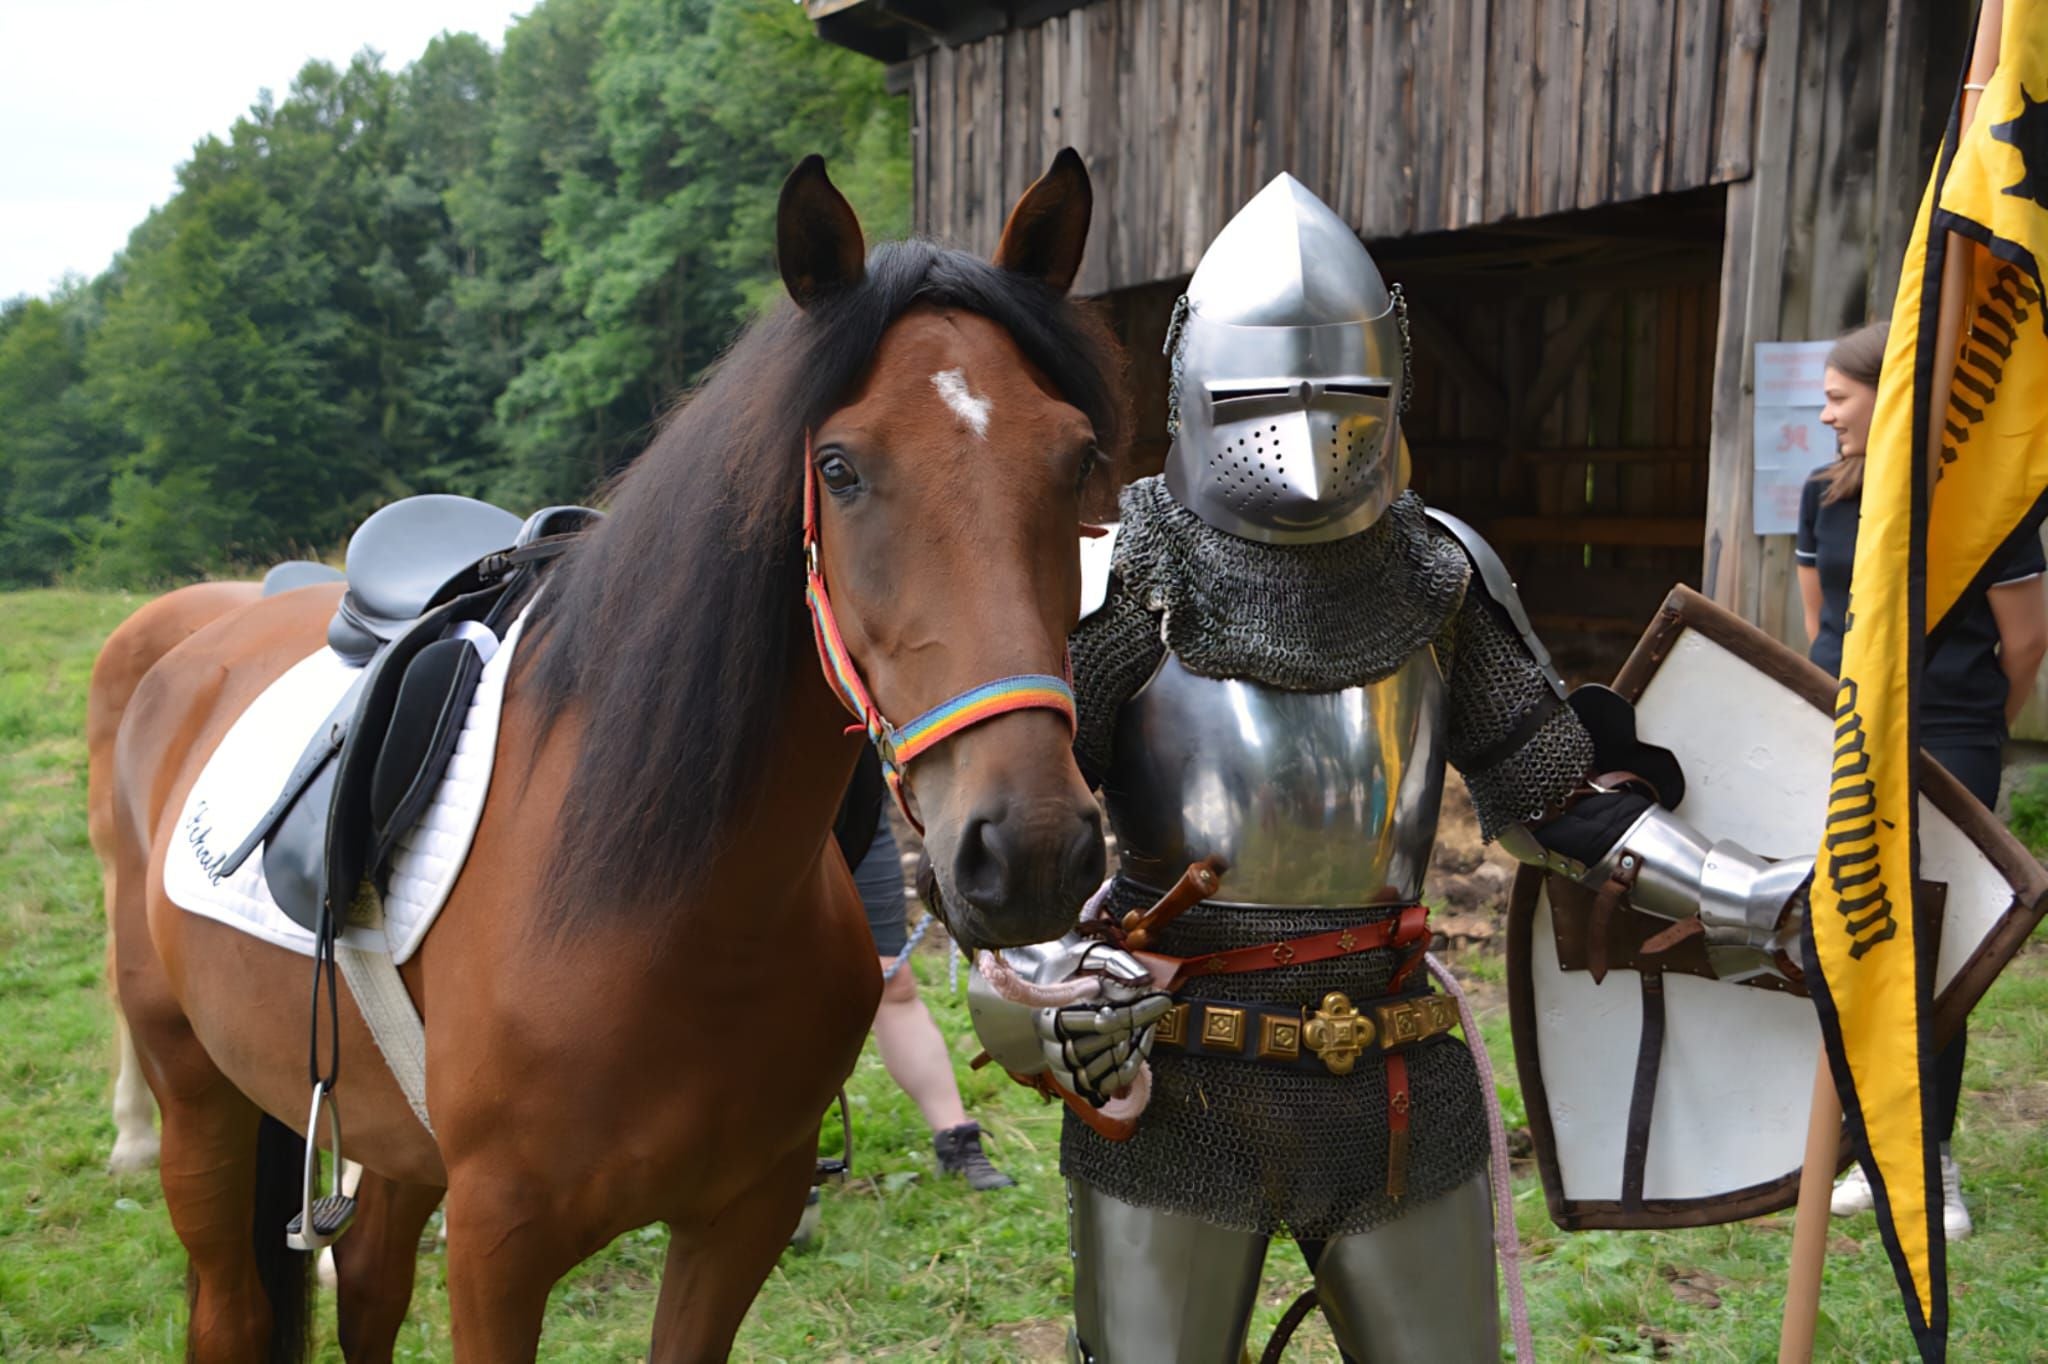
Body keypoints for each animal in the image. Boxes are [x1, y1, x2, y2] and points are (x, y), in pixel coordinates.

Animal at [92, 149, 1127, 1362]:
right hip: (197, 1093)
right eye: (838, 465)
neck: (673, 910)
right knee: (231, 1302)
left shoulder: (742, 1217)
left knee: (370, 1282)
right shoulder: (499, 1247)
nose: (1033, 848)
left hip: (392, 1145)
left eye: (1076, 457)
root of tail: (188, 644)